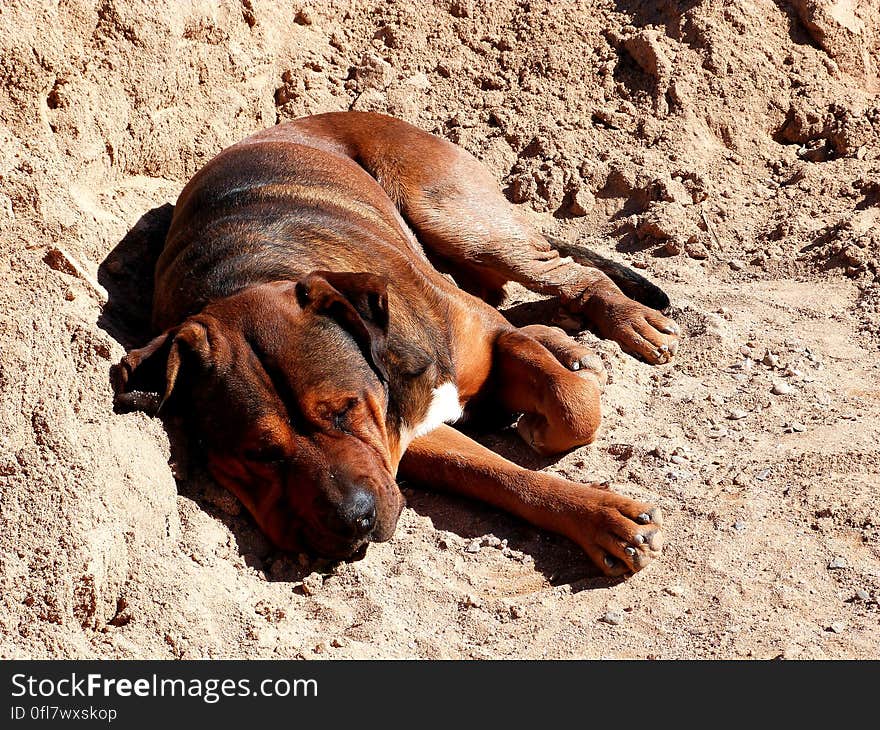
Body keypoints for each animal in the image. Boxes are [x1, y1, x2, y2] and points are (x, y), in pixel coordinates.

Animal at [113, 112, 680, 576]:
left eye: (344, 410)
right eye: (258, 454)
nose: (354, 520)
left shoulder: (483, 342)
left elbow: (572, 405)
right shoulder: (405, 436)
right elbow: (502, 475)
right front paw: (602, 519)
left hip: (457, 217)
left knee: (565, 274)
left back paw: (627, 322)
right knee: (505, 296)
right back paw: (565, 343)